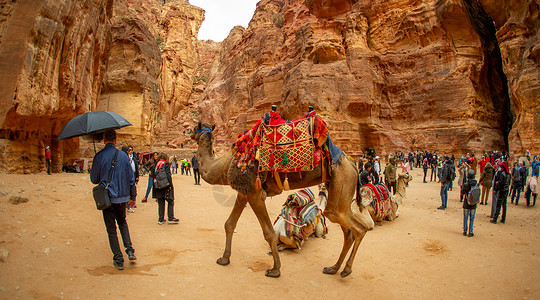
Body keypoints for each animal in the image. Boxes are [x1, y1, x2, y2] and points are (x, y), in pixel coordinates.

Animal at [192, 122, 374, 278]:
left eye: (194, 127)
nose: (188, 133)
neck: (226, 164)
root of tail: (353, 164)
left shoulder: (255, 193)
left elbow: (269, 233)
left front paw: (275, 269)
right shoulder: (244, 192)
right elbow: (229, 224)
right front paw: (224, 258)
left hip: (343, 179)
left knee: (358, 228)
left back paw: (347, 270)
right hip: (337, 187)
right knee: (347, 233)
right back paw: (333, 268)